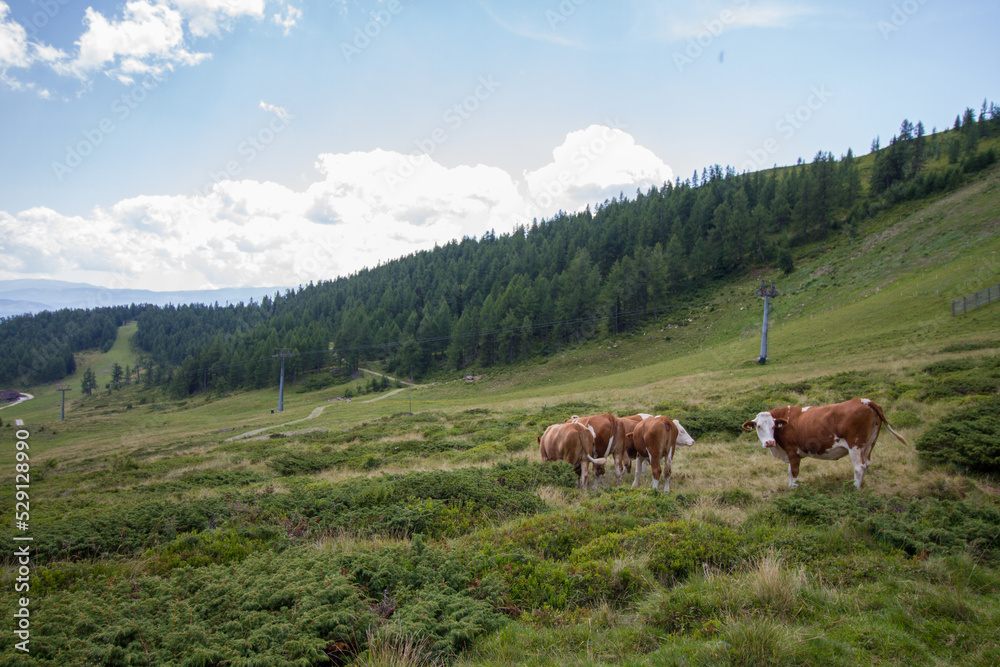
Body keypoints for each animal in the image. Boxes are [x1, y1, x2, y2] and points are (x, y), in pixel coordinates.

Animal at [741, 397, 909, 489]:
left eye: (773, 426)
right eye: (759, 426)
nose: (770, 442)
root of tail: (864, 401)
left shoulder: (792, 452)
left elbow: (794, 472)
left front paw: (794, 489)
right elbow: (789, 472)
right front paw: (790, 487)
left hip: (855, 445)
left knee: (859, 467)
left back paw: (855, 489)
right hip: (869, 444)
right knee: (866, 464)